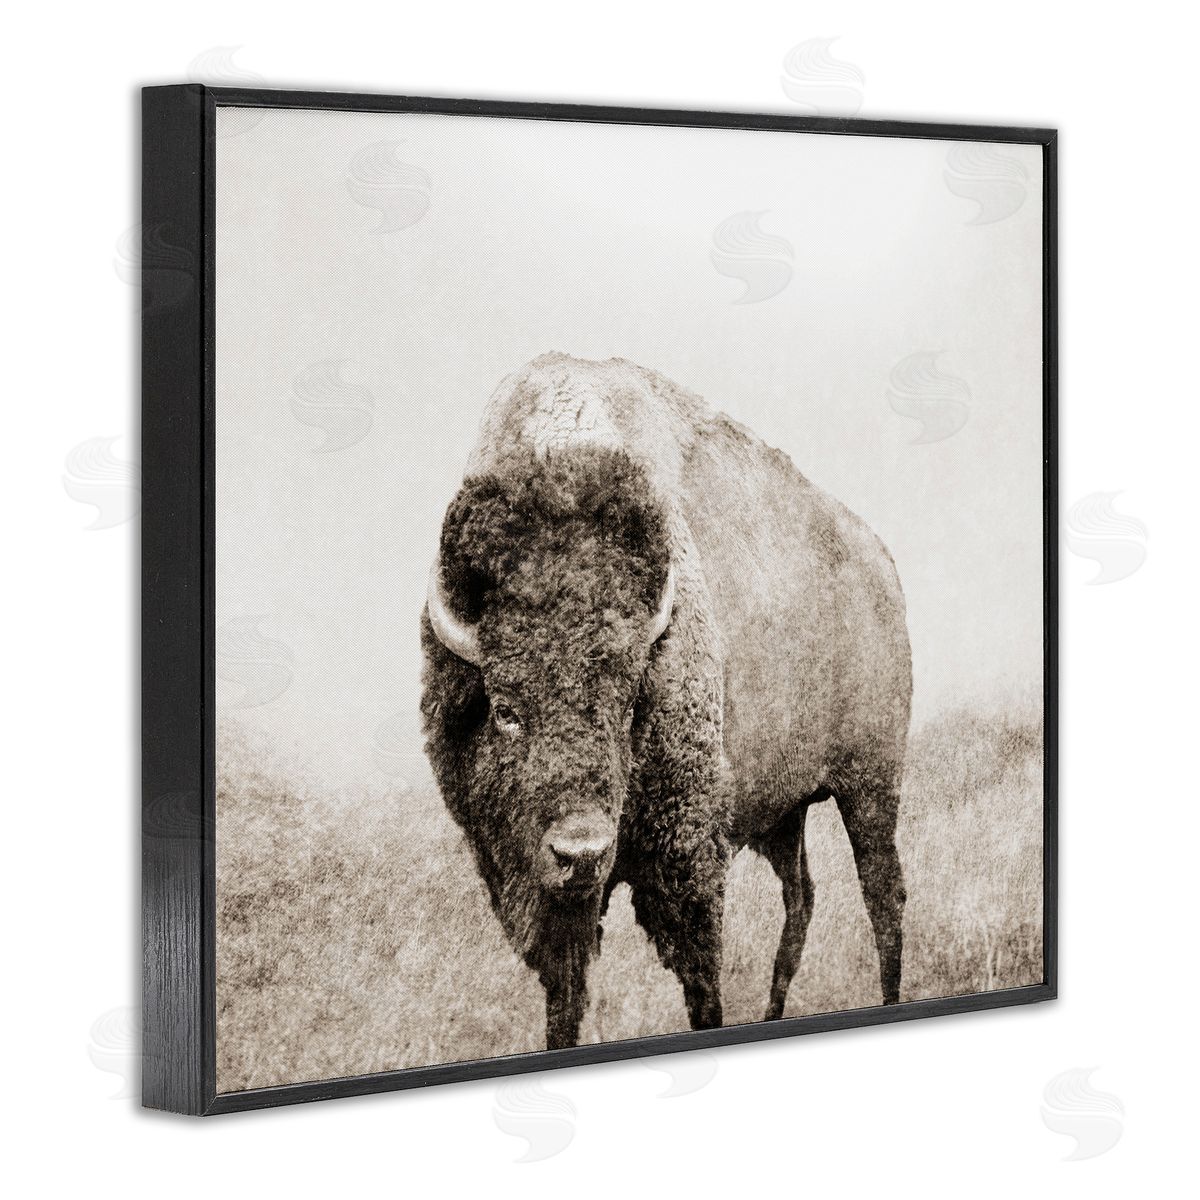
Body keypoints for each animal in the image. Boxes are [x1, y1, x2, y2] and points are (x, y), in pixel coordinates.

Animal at [421, 353, 911, 1049]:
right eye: (506, 710)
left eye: (628, 704)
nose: (580, 851)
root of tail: (881, 563)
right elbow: (564, 999)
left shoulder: (688, 864)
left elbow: (701, 983)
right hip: (785, 812)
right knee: (802, 898)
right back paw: (774, 1011)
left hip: (870, 784)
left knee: (882, 894)